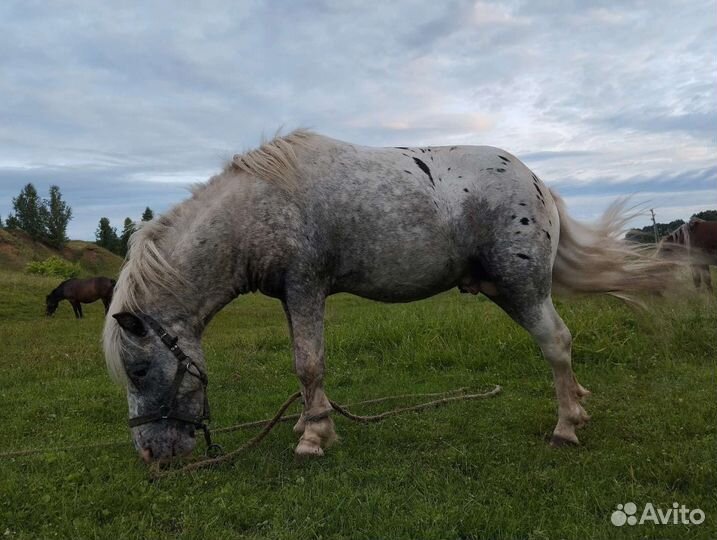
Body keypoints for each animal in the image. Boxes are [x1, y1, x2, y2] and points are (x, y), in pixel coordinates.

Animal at [102, 130, 672, 463]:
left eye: (138, 370)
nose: (151, 456)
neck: (259, 208)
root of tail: (537, 181)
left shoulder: (306, 286)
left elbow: (308, 364)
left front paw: (314, 438)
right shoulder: (291, 297)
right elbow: (306, 368)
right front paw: (310, 423)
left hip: (521, 289)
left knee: (556, 342)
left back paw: (566, 426)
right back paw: (578, 407)